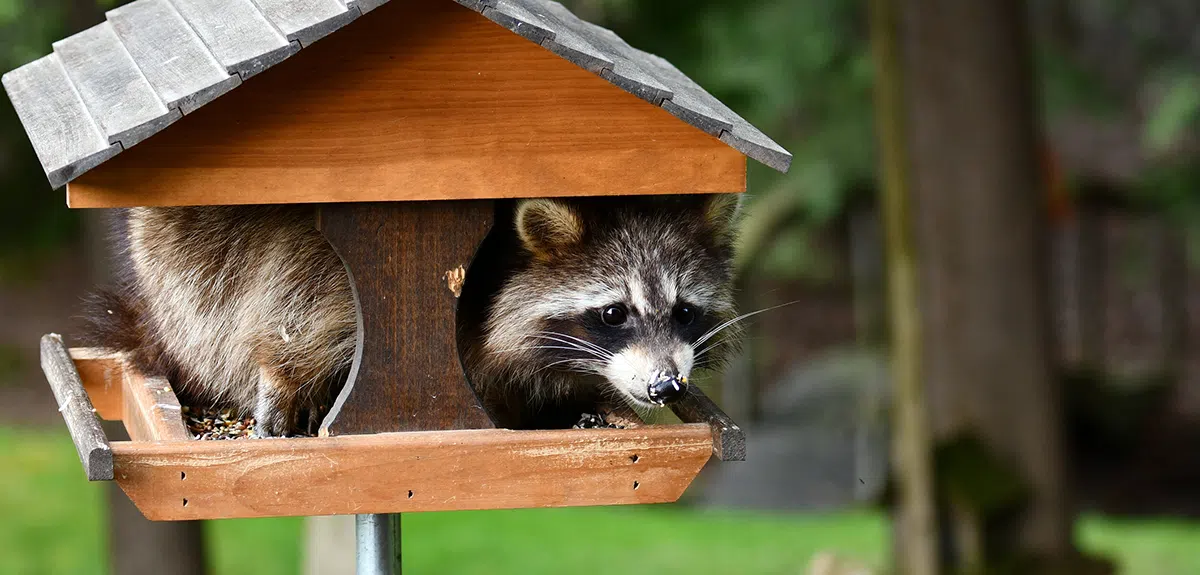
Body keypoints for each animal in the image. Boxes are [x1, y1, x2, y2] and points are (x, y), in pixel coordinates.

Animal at [82, 194, 744, 435]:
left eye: (685, 312)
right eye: (613, 313)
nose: (666, 386)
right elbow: (309, 299)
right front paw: (286, 370)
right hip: (172, 257)